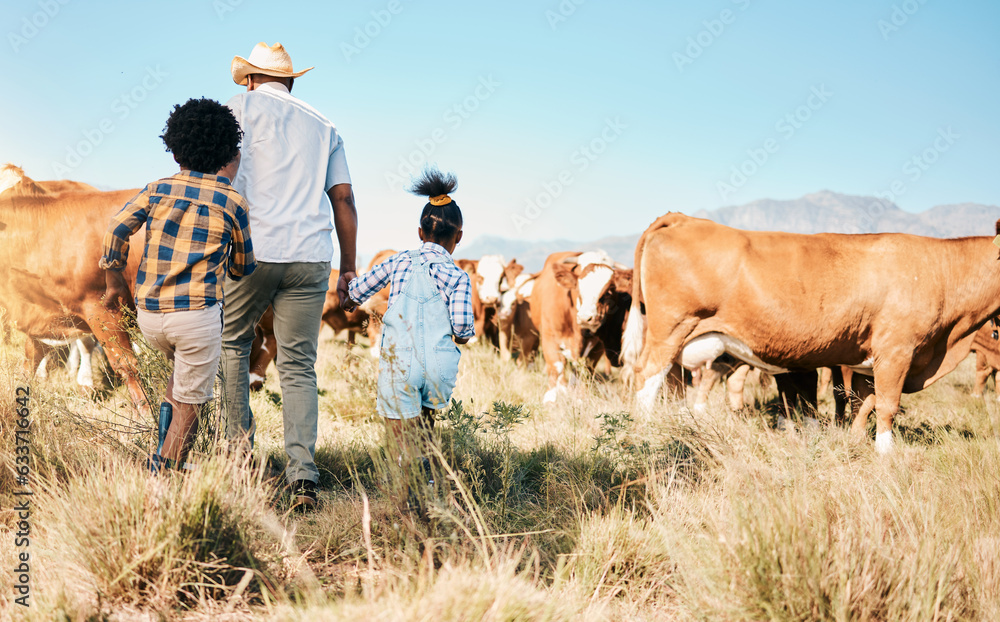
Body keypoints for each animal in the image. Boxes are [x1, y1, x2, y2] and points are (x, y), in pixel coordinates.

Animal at [616, 214, 1000, 454]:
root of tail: (683, 217)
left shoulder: (869, 361)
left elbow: (864, 403)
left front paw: (855, 442)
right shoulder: (897, 351)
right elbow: (888, 405)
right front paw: (886, 452)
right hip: (670, 331)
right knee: (647, 381)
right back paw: (646, 432)